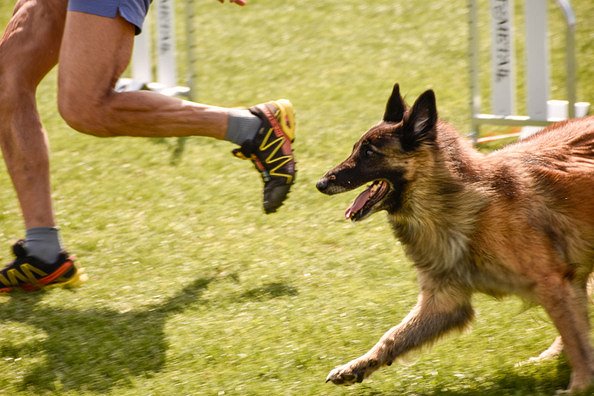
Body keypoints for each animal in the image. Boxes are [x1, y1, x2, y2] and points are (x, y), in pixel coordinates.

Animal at [314, 84, 592, 392]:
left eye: (369, 152)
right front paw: (355, 367)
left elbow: (577, 343)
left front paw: (580, 387)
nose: (320, 183)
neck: (462, 205)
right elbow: (392, 336)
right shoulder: (445, 301)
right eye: (355, 148)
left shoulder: (555, 285)